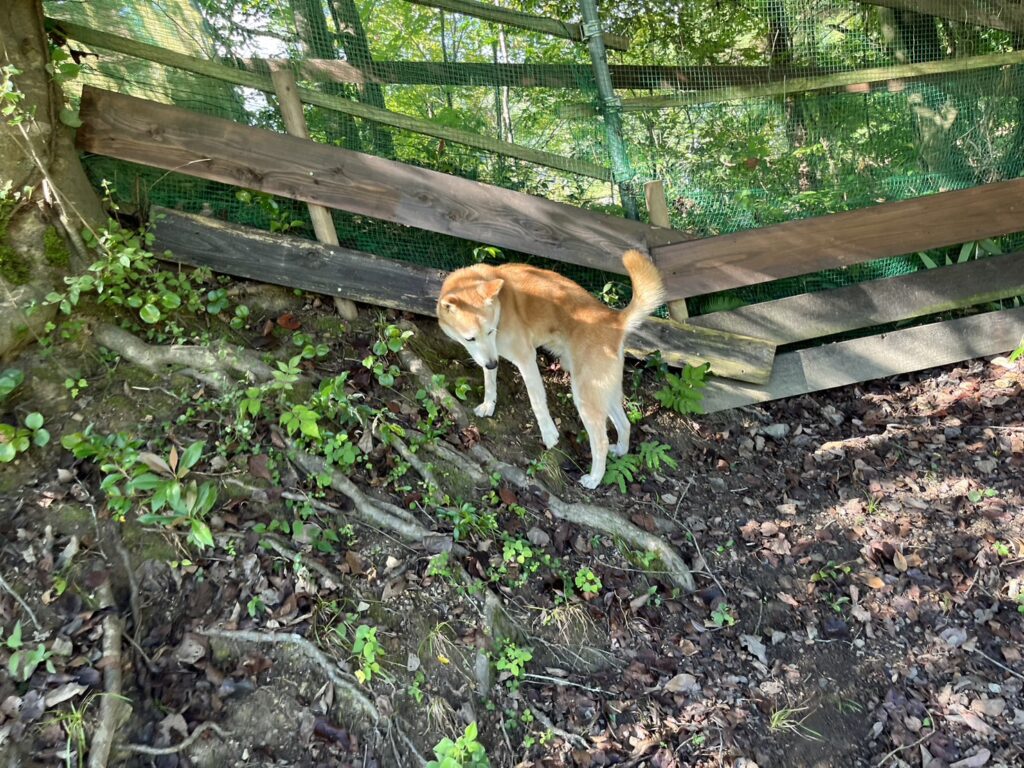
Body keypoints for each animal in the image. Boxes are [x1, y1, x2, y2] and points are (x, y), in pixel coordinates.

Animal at [436, 250, 664, 489]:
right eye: (470, 338)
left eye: (490, 331)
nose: (492, 364)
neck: (502, 306)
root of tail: (614, 319)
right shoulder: (490, 356)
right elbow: (490, 382)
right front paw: (488, 405)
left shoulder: (526, 358)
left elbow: (537, 402)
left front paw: (548, 434)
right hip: (603, 391)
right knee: (625, 424)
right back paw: (620, 450)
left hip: (585, 395)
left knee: (601, 440)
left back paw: (594, 478)